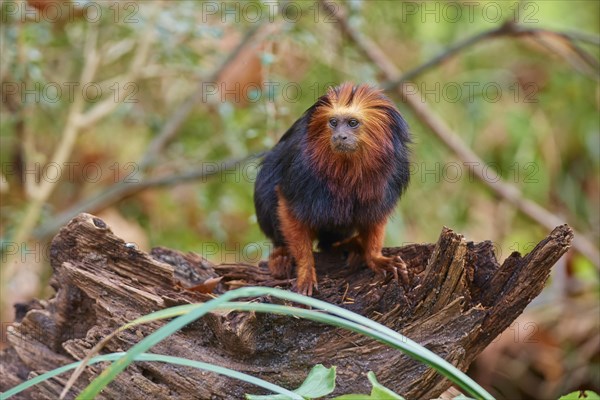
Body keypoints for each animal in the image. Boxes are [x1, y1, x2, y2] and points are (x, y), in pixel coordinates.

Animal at [253, 83, 412, 296]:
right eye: (333, 122)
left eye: (352, 123)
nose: (339, 136)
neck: (347, 166)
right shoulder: (299, 168)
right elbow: (287, 207)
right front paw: (305, 270)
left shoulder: (392, 174)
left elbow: (374, 214)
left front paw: (375, 257)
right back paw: (282, 254)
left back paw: (345, 245)